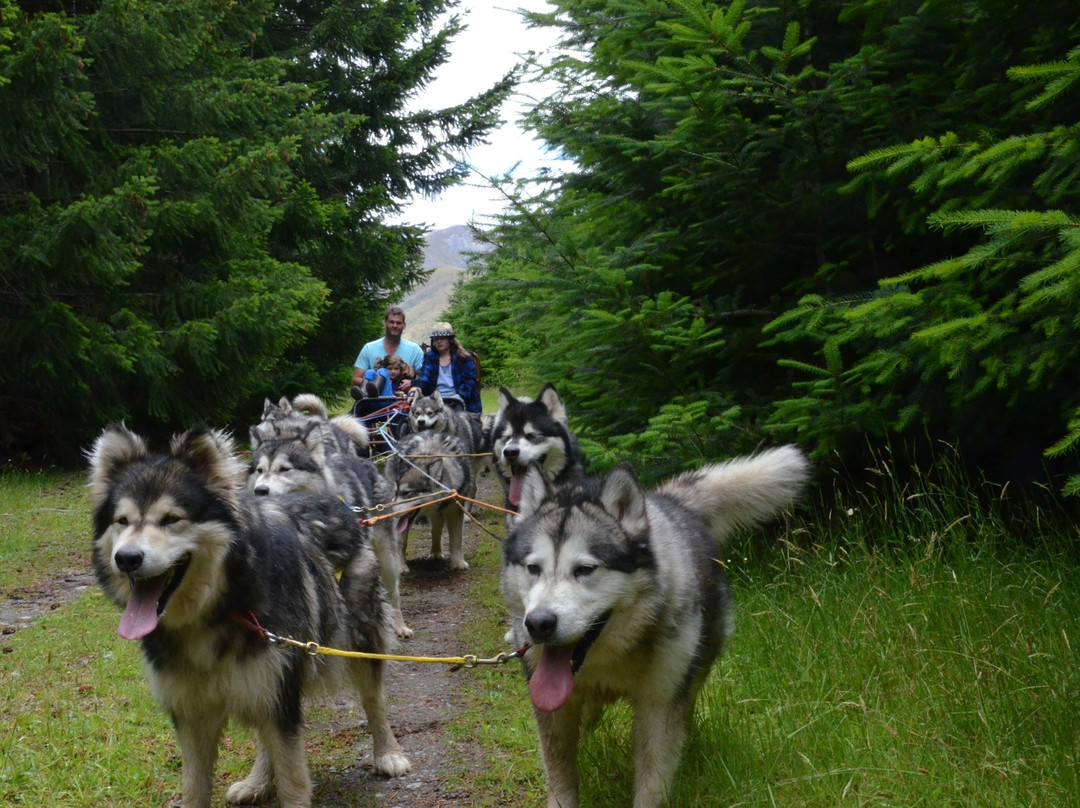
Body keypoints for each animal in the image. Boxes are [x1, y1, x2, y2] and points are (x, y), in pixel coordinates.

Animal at [87, 423, 408, 808]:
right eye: (122, 521)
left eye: (171, 519)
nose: (127, 558)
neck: (214, 612)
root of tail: (336, 502)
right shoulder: (192, 712)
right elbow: (195, 787)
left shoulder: (276, 695)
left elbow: (294, 781)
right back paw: (257, 780)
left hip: (357, 639)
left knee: (373, 699)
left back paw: (387, 753)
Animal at [386, 432, 475, 570]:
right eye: (396, 493)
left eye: (407, 493)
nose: (389, 510)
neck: (429, 455)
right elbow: (401, 541)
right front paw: (400, 566)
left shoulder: (455, 512)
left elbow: (456, 539)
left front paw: (458, 562)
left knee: (436, 529)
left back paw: (436, 551)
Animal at [498, 445, 812, 808]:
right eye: (533, 568)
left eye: (585, 569)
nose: (538, 624)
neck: (610, 659)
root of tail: (668, 500)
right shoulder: (552, 711)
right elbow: (561, 775)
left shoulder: (659, 707)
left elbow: (653, 780)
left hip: (694, 666)